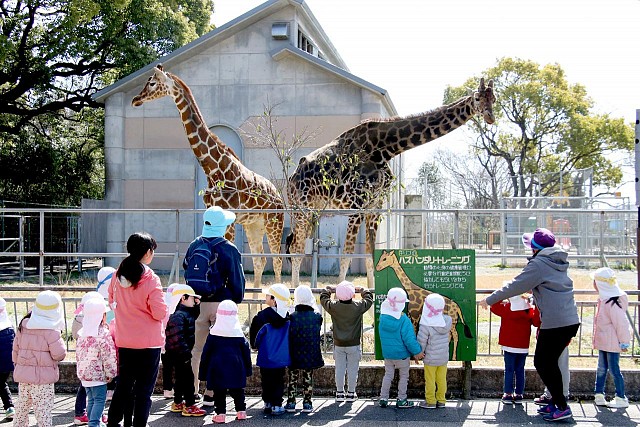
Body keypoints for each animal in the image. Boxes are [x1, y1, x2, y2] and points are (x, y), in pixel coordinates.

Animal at [131, 65, 284, 288]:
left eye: (151, 83)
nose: (135, 99)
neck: (213, 169)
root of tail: (279, 196)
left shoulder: (229, 218)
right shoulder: (213, 214)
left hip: (274, 221)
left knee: (279, 259)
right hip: (253, 224)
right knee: (260, 260)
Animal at [288, 78, 498, 290]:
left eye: (494, 99)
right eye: (477, 98)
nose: (490, 117)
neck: (385, 149)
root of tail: (291, 178)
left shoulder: (374, 206)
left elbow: (370, 255)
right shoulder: (356, 205)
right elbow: (346, 255)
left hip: (315, 211)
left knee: (296, 247)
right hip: (301, 209)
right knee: (296, 249)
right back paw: (295, 291)